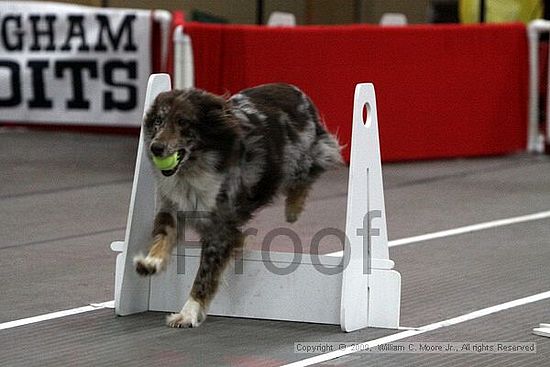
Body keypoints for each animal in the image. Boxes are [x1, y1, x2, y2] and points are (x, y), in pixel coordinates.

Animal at [135, 85, 340, 330]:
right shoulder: (172, 207)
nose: (156, 147)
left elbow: (204, 275)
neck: (194, 168)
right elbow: (162, 236)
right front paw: (151, 263)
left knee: (310, 171)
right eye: (158, 120)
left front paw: (188, 313)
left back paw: (293, 209)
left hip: (300, 158)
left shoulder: (220, 229)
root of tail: (296, 90)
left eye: (183, 122)